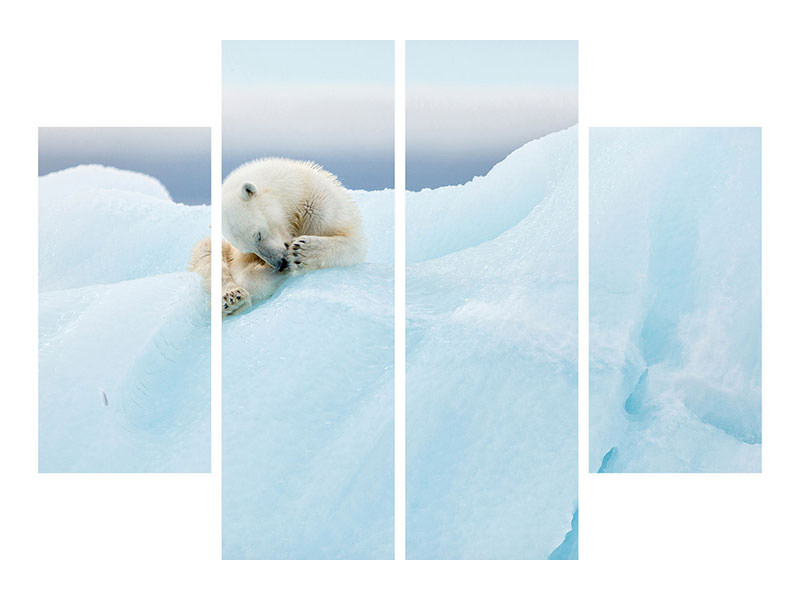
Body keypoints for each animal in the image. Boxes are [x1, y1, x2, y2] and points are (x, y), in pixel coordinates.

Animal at [189, 159, 368, 314]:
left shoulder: (320, 207)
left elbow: (353, 242)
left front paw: (301, 251)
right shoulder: (237, 254)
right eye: (249, 249)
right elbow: (242, 272)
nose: (280, 263)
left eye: (258, 235)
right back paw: (232, 298)